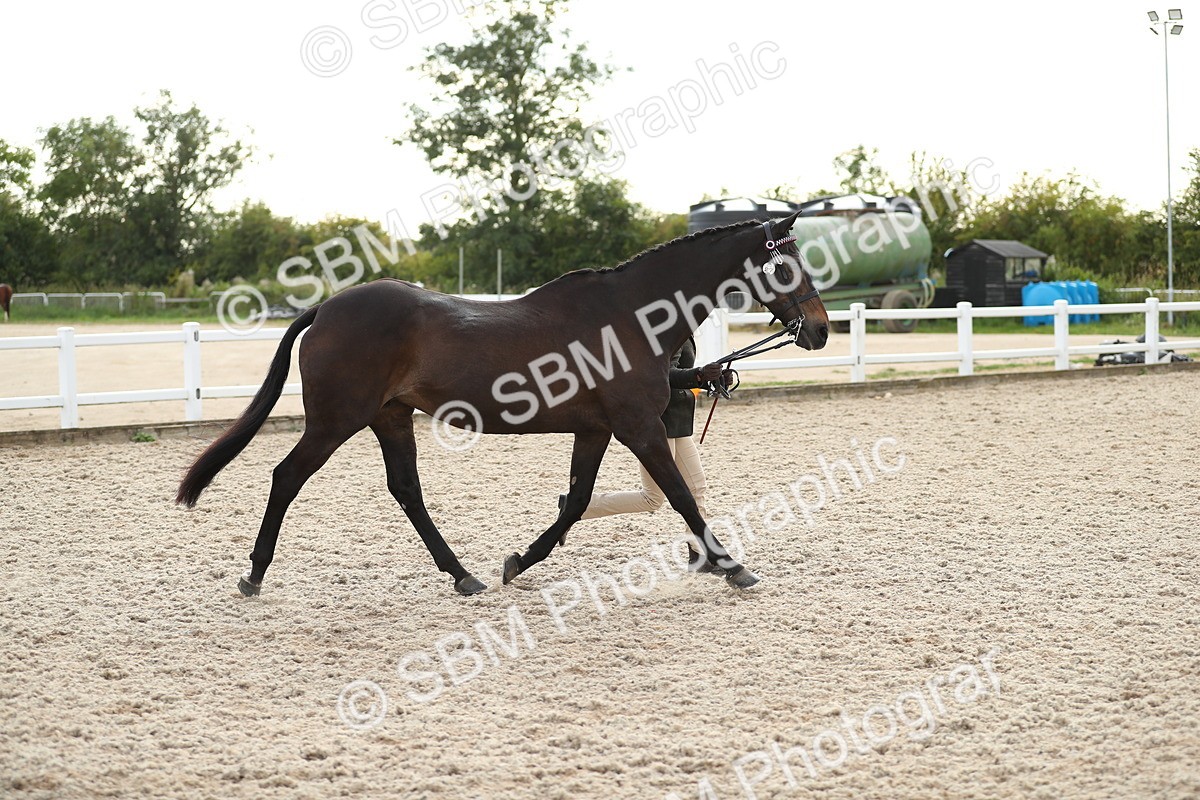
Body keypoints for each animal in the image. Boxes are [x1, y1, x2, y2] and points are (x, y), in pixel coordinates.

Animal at [176, 212, 829, 597]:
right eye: (786, 265)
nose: (820, 330)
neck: (631, 316)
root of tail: (327, 308)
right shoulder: (639, 426)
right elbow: (680, 495)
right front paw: (732, 566)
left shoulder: (596, 429)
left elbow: (578, 501)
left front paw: (519, 560)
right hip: (336, 421)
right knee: (287, 477)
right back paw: (254, 573)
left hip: (390, 417)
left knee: (406, 491)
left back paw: (463, 575)